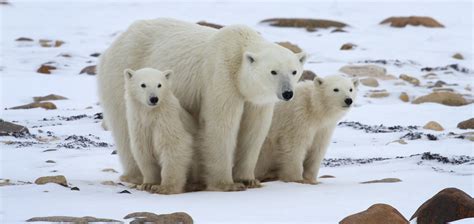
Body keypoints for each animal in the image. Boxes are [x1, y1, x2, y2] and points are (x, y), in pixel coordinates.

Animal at [97, 18, 308, 192]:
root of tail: (118, 40)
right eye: (273, 71)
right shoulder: (220, 76)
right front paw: (227, 184)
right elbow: (220, 125)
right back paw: (138, 176)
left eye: (294, 71)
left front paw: (248, 179)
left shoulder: (256, 99)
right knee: (125, 126)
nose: (287, 93)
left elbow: (254, 131)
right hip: (123, 74)